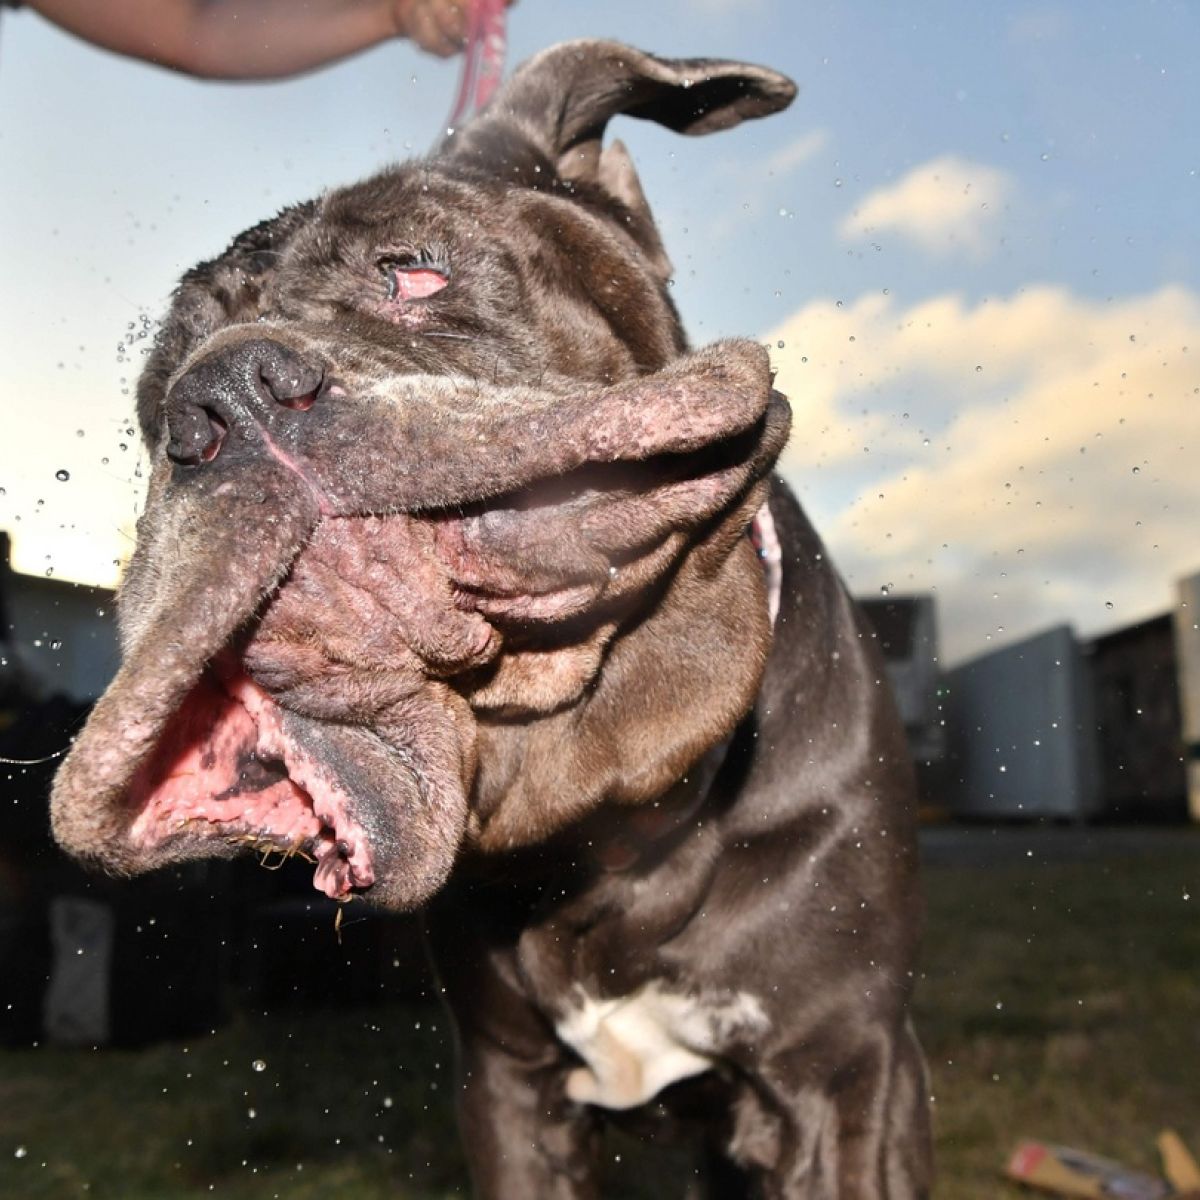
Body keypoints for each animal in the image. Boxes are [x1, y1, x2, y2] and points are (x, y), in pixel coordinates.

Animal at [51, 39, 931, 1200]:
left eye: (414, 271)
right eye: (154, 409)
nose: (223, 395)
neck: (601, 808)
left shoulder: (845, 1079)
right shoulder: (509, 1092)